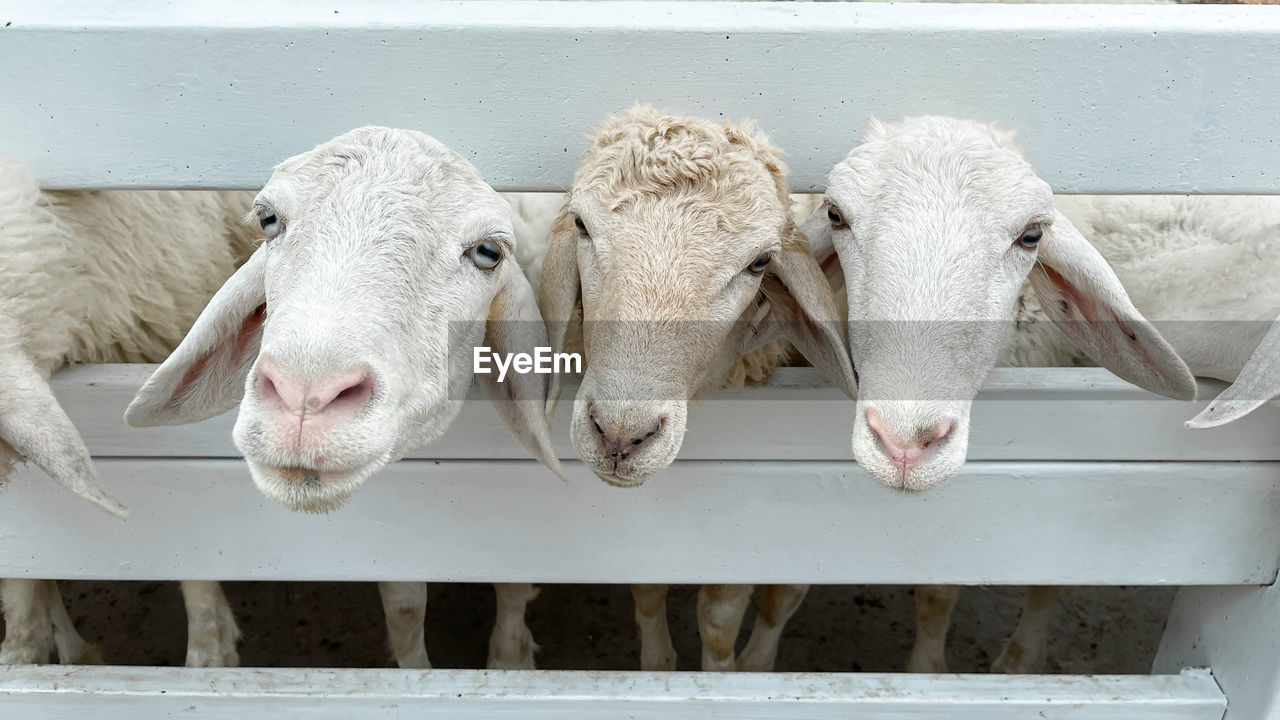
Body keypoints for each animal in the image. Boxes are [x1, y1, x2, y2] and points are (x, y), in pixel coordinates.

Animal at [128, 124, 565, 666]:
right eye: (269, 219)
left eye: (488, 252)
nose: (303, 398)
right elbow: (404, 606)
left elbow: (513, 583)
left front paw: (509, 660)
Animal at [535, 105, 855, 666]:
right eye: (581, 225)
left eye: (760, 262)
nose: (620, 436)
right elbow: (648, 589)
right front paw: (660, 662)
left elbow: (721, 618)